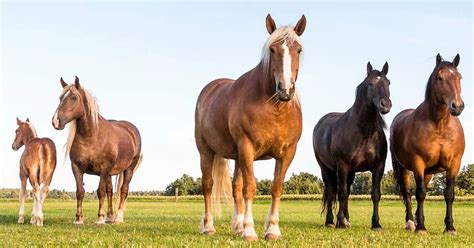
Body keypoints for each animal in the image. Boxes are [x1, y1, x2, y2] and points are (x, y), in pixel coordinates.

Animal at [51, 77, 142, 225]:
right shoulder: (76, 167)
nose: (55, 121)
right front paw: (79, 218)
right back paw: (110, 216)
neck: (91, 137)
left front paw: (99, 218)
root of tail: (131, 130)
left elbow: (100, 192)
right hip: (110, 173)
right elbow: (80, 191)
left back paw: (118, 218)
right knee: (110, 191)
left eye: (73, 97)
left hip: (128, 169)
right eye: (60, 98)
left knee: (123, 190)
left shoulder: (104, 169)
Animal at [194, 14, 306, 240]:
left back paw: (236, 226)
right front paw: (249, 230)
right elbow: (250, 188)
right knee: (208, 186)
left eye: (298, 49)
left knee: (235, 187)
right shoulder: (247, 148)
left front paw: (272, 230)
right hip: (206, 151)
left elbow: (276, 188)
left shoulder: (287, 153)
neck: (275, 108)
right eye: (272, 49)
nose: (285, 89)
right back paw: (208, 226)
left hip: (236, 157)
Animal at [312, 61, 390, 229]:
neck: (364, 132)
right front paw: (340, 221)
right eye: (370, 83)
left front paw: (376, 224)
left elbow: (375, 194)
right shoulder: (342, 166)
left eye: (388, 82)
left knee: (346, 191)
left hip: (351, 173)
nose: (385, 105)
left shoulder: (378, 166)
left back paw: (346, 219)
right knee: (331, 192)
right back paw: (331, 221)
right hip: (326, 169)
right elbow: (340, 193)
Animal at [390, 53, 464, 234]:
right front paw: (421, 228)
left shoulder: (454, 164)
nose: (457, 106)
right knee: (408, 193)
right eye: (440, 77)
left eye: (459, 77)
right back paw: (411, 222)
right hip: (404, 168)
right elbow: (420, 193)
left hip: (429, 172)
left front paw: (450, 227)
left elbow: (449, 194)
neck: (440, 126)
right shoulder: (418, 162)